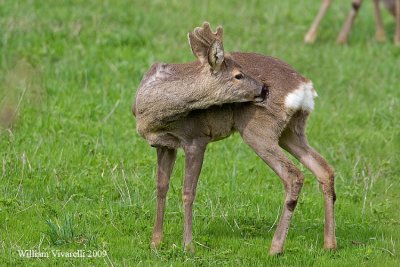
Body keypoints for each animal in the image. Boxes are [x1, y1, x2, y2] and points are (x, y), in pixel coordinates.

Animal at [133, 22, 336, 255]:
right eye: (238, 75)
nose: (264, 88)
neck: (153, 113)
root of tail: (305, 87)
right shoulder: (164, 145)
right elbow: (161, 187)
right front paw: (156, 242)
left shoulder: (196, 138)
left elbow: (188, 191)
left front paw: (188, 246)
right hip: (291, 131)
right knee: (324, 169)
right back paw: (329, 244)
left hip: (257, 130)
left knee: (294, 175)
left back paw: (276, 247)